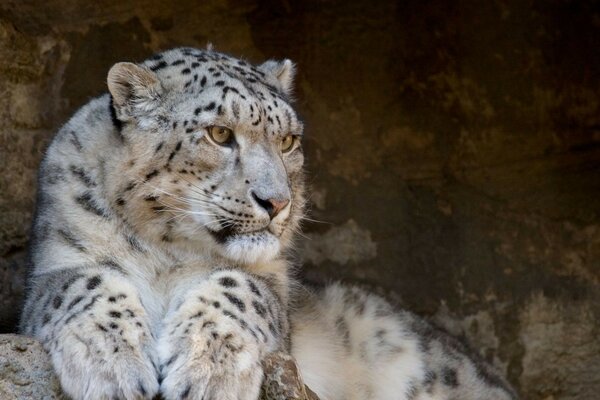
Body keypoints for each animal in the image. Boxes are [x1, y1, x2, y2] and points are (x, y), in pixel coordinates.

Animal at [18, 47, 516, 400]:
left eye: (289, 140)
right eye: (219, 133)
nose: (277, 202)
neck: (168, 255)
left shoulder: (271, 285)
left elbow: (236, 288)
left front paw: (208, 373)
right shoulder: (54, 265)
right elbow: (85, 283)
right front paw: (110, 364)